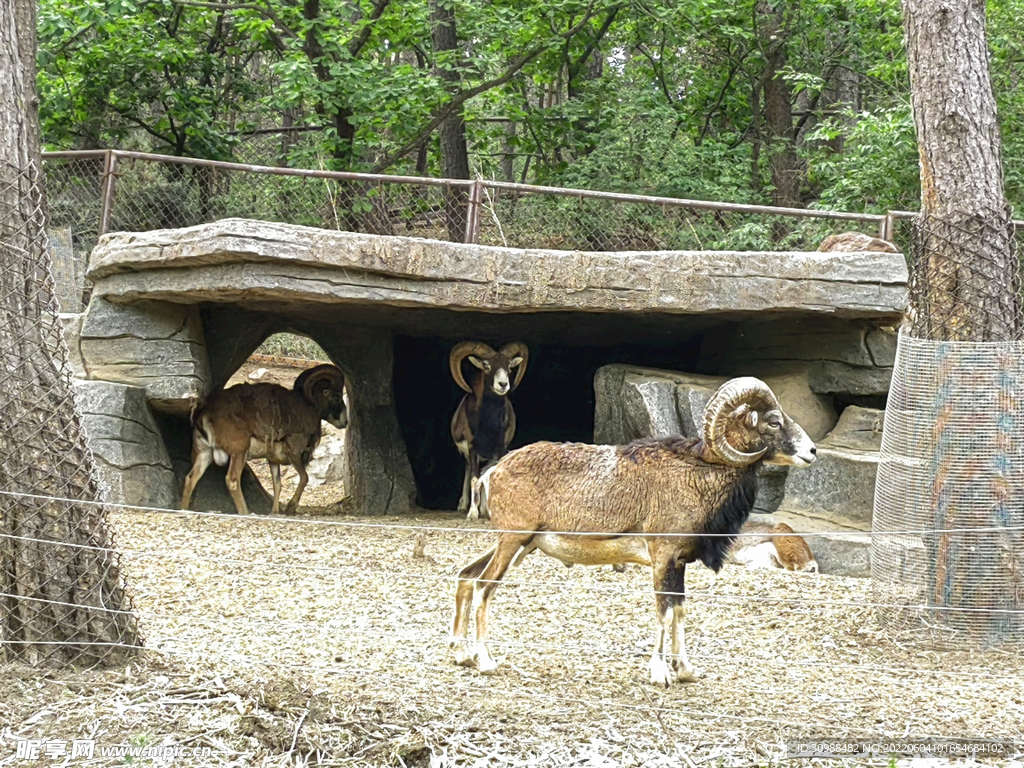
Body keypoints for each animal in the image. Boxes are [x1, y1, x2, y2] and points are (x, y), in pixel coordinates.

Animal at [448, 376, 815, 684]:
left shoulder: (678, 564)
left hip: (520, 545)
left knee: (466, 576)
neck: (697, 477)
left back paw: (462, 655)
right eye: (774, 421)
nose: (811, 452)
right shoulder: (662, 558)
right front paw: (660, 675)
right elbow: (664, 612)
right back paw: (487, 662)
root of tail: (492, 472)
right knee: (483, 586)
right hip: (513, 542)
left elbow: (679, 611)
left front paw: (685, 671)